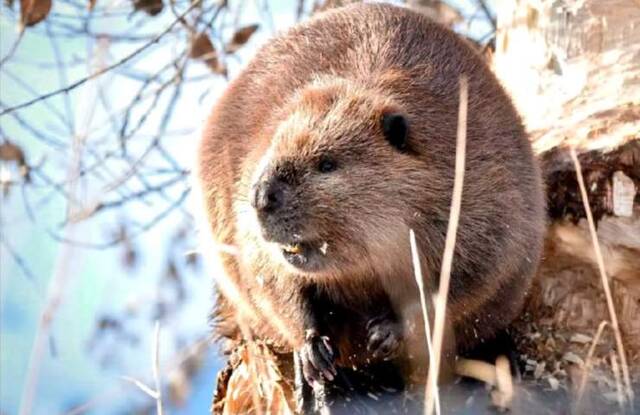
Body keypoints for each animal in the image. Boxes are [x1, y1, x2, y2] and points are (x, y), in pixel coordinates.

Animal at [196, 1, 544, 394]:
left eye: (326, 163)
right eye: (274, 144)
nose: (261, 197)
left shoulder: (485, 192)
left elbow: (466, 279)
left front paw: (385, 332)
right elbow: (270, 280)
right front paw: (314, 353)